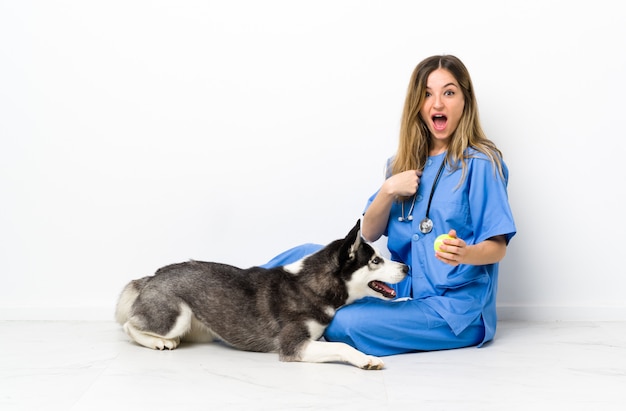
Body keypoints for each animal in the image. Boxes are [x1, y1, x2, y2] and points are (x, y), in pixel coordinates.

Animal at [114, 220, 408, 372]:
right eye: (376, 261)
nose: (406, 267)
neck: (310, 285)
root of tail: (153, 275)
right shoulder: (294, 347)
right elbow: (341, 346)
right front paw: (366, 358)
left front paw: (405, 300)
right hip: (176, 317)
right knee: (130, 325)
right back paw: (158, 342)